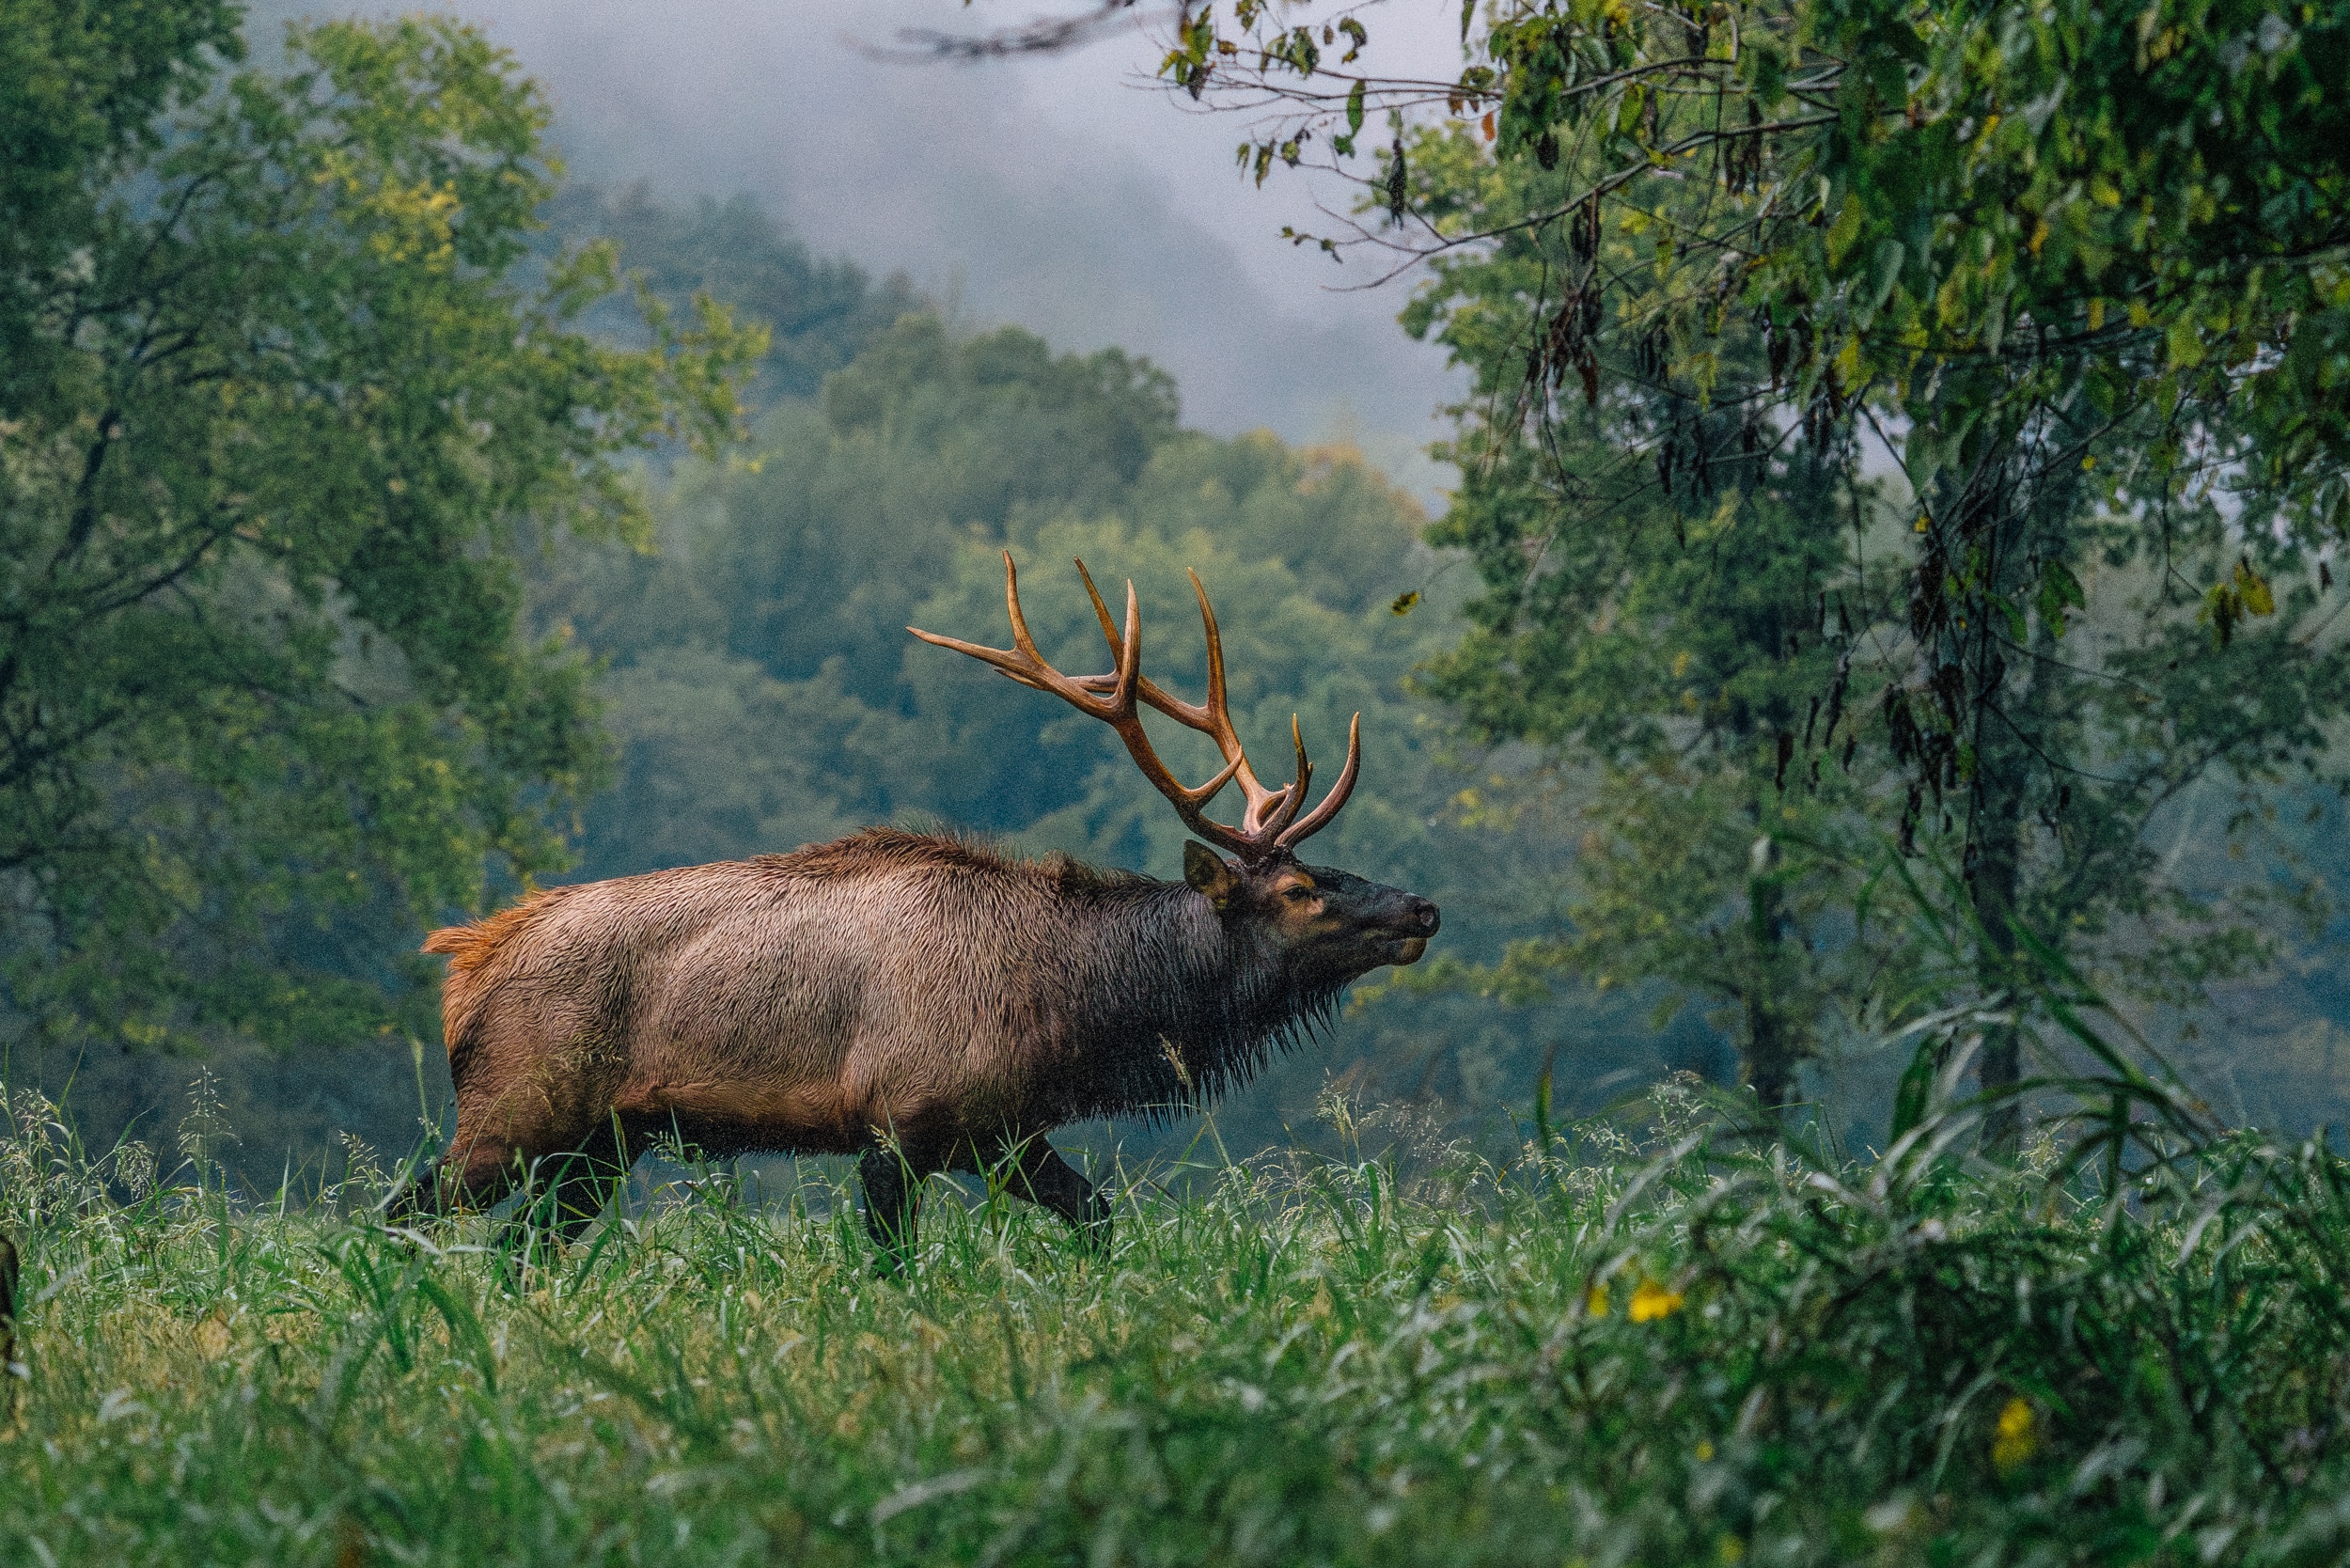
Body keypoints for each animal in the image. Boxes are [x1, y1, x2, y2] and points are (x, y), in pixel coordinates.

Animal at [390, 552, 1429, 1260]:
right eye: (1298, 890)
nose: (1422, 908)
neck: (1071, 1013)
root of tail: (465, 966)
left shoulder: (1002, 1133)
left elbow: (1098, 1219)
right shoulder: (897, 1124)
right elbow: (893, 1268)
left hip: (603, 1145)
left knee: (517, 1249)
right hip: (513, 1111)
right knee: (395, 1216)